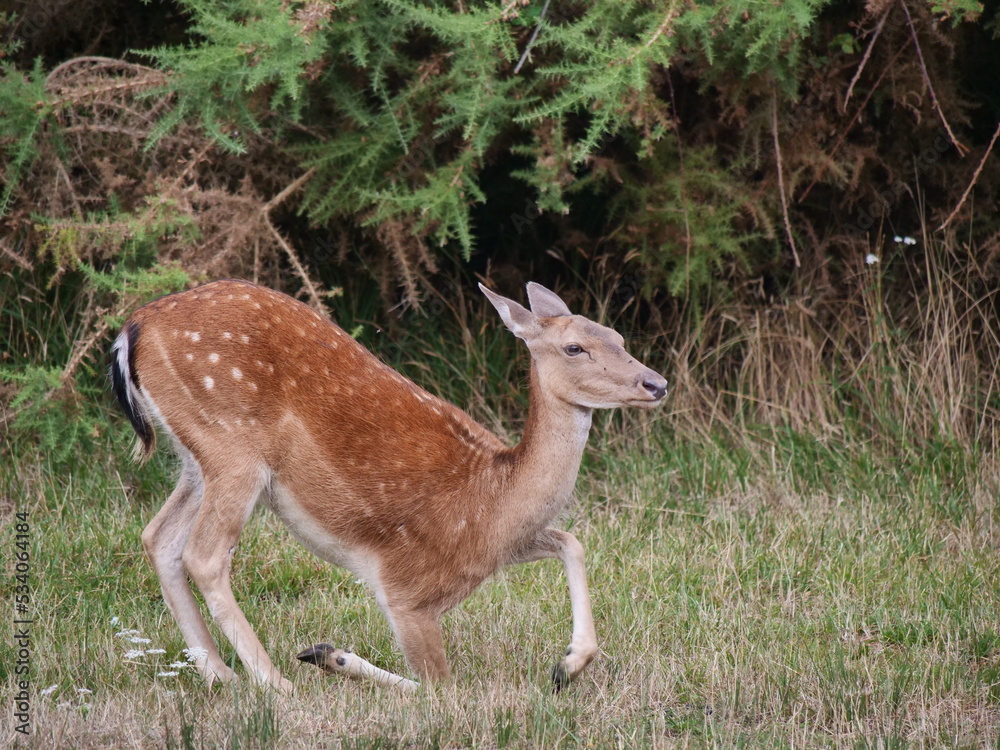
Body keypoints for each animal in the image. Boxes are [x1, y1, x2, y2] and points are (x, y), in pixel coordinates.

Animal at [110, 279, 667, 693]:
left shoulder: (507, 546)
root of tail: (133, 328)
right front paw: (329, 655)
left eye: (618, 336)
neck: (493, 503)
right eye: (575, 347)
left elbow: (571, 540)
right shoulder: (407, 591)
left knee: (158, 536)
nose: (656, 383)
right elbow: (440, 688)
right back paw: (275, 683)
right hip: (233, 448)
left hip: (197, 459)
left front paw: (567, 664)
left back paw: (220, 674)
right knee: (203, 554)